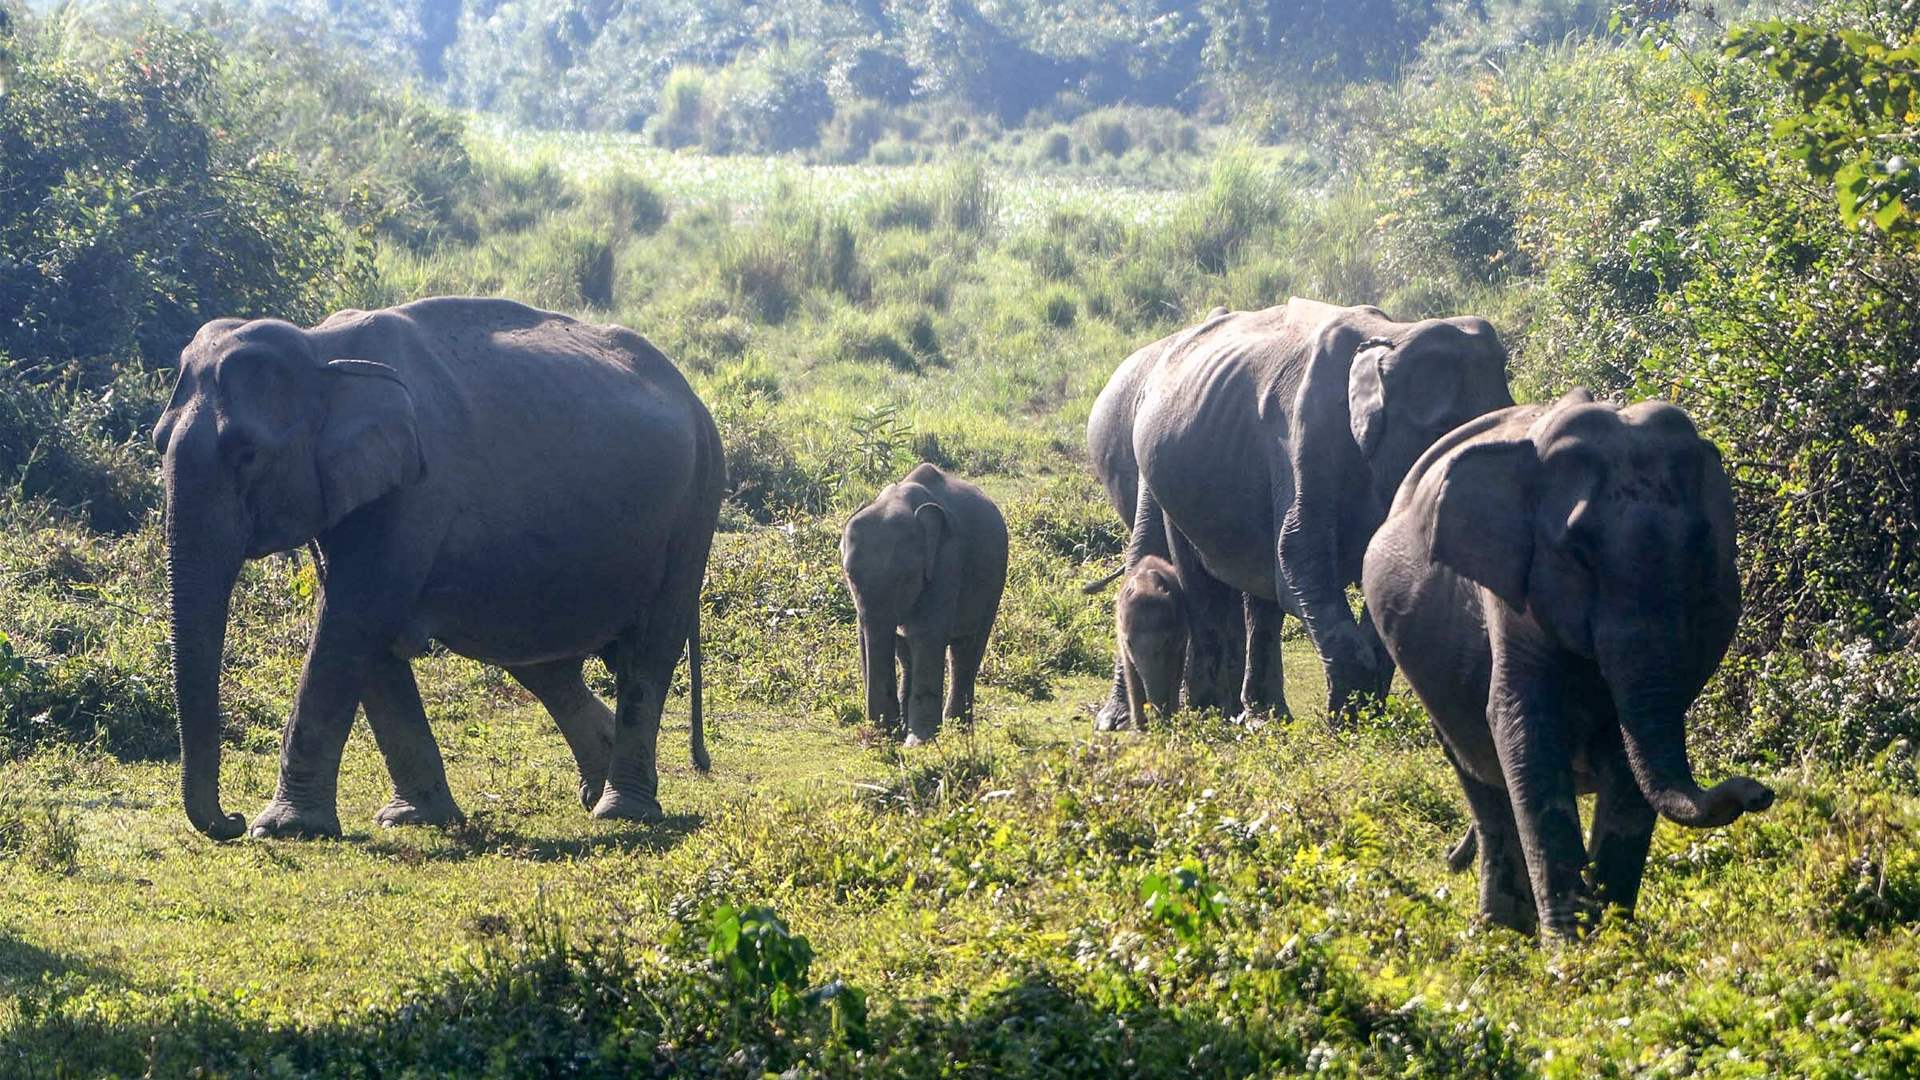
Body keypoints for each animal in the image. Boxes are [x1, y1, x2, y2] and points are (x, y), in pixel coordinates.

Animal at [152, 297, 725, 840]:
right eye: (158, 442)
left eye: (247, 455)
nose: (229, 820)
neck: (320, 349)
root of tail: (694, 399)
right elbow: (359, 628)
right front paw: (412, 819)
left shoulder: (415, 489)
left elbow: (352, 619)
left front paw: (283, 828)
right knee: (540, 659)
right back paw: (597, 785)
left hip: (694, 506)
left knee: (650, 649)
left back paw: (620, 809)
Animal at [841, 463, 1008, 745]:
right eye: (850, 576)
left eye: (906, 577)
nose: (876, 737)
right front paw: (895, 736)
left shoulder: (947, 560)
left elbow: (927, 635)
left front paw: (917, 744)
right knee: (906, 653)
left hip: (994, 583)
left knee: (967, 649)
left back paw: (958, 730)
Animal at [1116, 555, 1186, 729]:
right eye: (1129, 643)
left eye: (1166, 641)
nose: (1156, 720)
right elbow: (1130, 671)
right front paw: (1139, 725)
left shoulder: (1179, 633)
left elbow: (1172, 669)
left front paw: (1169, 717)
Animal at [1361, 389, 1774, 937]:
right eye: (1579, 549)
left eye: (1700, 544)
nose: (1757, 793)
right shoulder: (1511, 593)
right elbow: (1523, 729)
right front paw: (1573, 947)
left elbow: (1626, 754)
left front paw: (1612, 939)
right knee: (1478, 776)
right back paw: (1500, 930)